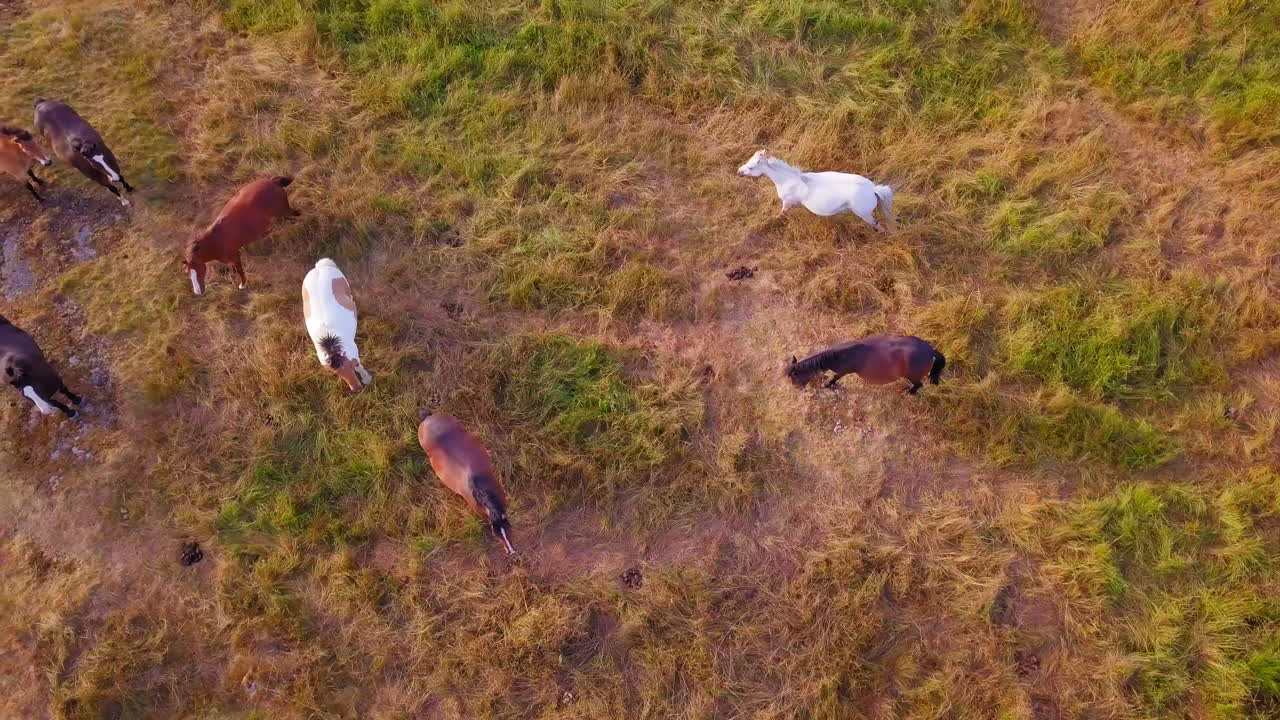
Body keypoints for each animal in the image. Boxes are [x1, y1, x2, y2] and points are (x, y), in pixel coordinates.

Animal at [302, 258, 371, 392]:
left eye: (352, 367)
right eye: (338, 374)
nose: (356, 389)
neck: (329, 339)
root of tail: (320, 267)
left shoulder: (354, 353)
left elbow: (360, 365)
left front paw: (367, 378)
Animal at [736, 149, 897, 232]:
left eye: (751, 167)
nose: (739, 172)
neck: (788, 180)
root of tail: (873, 189)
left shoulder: (787, 202)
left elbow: (782, 213)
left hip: (864, 214)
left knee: (877, 224)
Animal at [786, 335, 944, 394]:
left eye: (794, 377)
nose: (796, 389)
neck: (842, 354)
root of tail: (931, 351)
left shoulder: (843, 371)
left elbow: (835, 378)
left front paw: (827, 385)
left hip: (913, 376)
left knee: (919, 385)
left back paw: (909, 392)